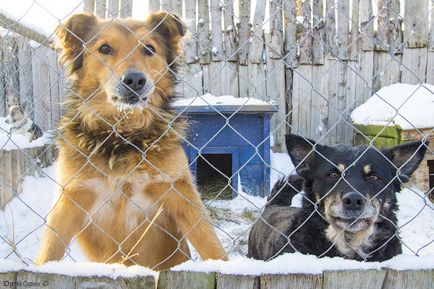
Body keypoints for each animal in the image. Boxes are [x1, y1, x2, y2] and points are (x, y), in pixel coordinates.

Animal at [36, 12, 227, 268]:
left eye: (149, 49)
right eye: (105, 48)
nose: (135, 80)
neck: (123, 136)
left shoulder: (179, 190)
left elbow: (210, 242)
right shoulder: (71, 196)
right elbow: (49, 250)